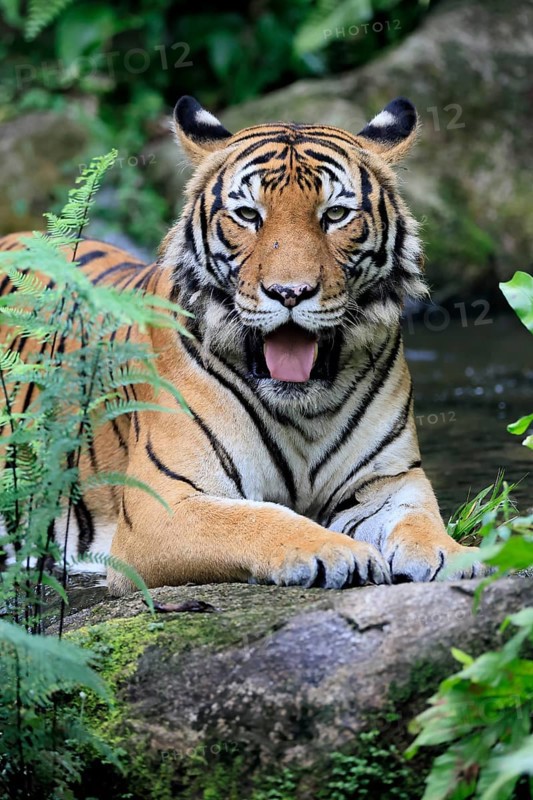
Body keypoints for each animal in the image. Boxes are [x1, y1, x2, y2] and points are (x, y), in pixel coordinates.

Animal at [0, 95, 486, 595]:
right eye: (249, 216)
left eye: (334, 215)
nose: (290, 293)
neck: (306, 409)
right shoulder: (164, 503)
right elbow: (260, 519)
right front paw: (338, 551)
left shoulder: (388, 479)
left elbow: (417, 518)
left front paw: (454, 555)